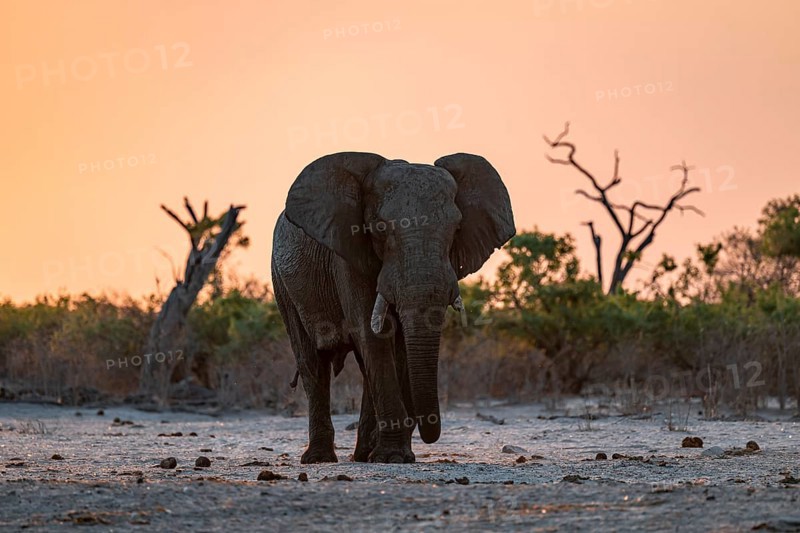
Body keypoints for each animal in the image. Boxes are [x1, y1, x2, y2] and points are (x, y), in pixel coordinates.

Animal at [271, 152, 515, 463]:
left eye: (457, 230)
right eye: (379, 229)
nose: (428, 428)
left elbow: (397, 347)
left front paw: (394, 455)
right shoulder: (347, 257)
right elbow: (374, 335)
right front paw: (393, 457)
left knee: (363, 367)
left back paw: (363, 455)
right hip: (282, 282)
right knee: (313, 363)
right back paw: (319, 459)